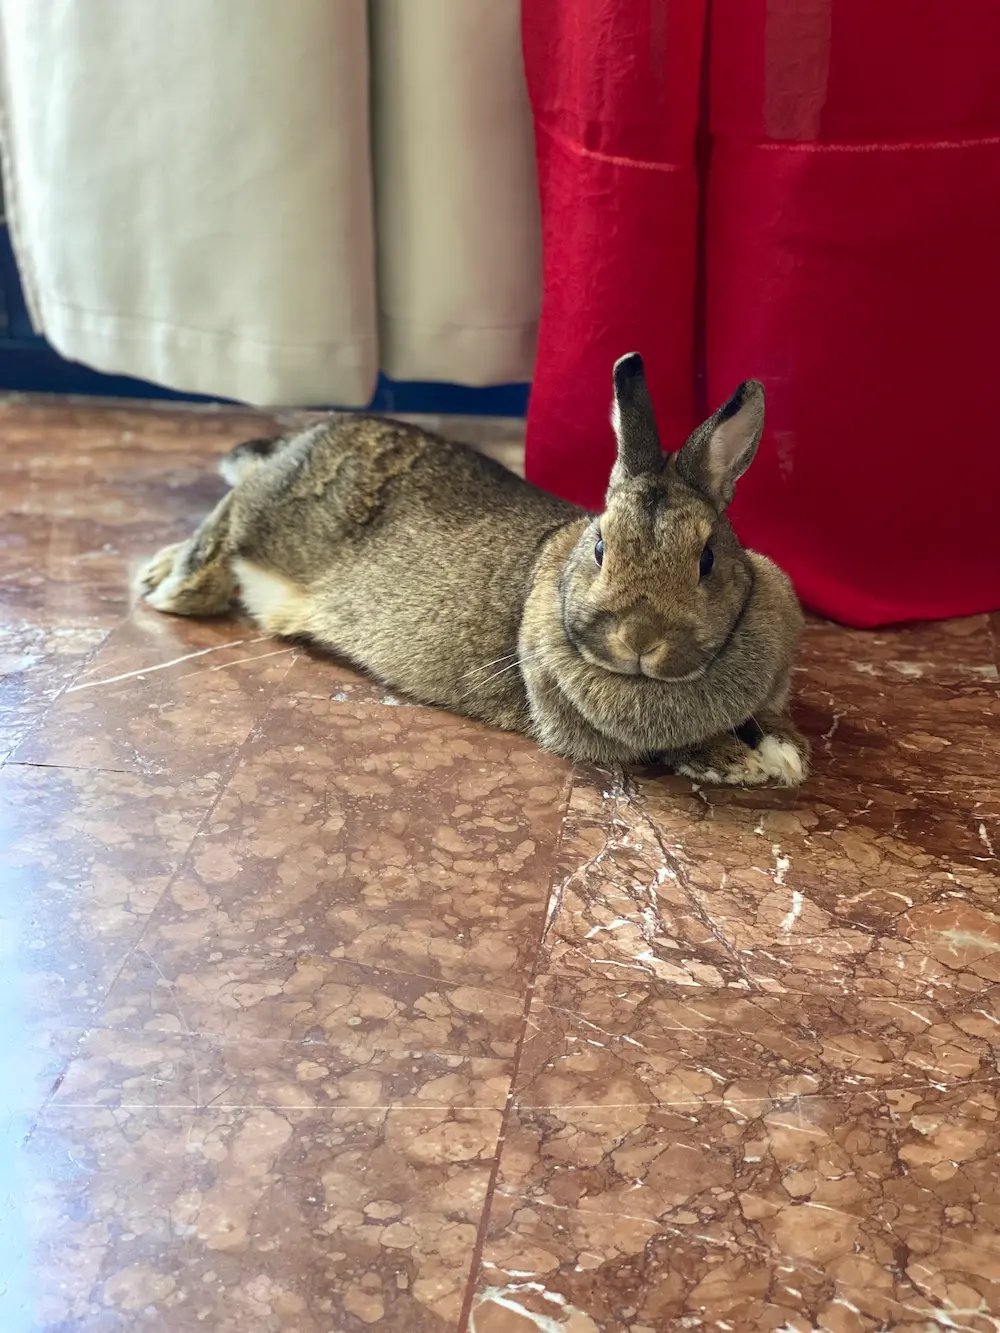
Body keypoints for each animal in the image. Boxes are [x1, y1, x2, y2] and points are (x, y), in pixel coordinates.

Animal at [138, 353, 808, 785]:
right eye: (600, 548)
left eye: (707, 560)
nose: (639, 640)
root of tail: (310, 433)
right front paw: (737, 761)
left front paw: (788, 751)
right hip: (277, 512)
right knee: (233, 507)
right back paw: (169, 583)